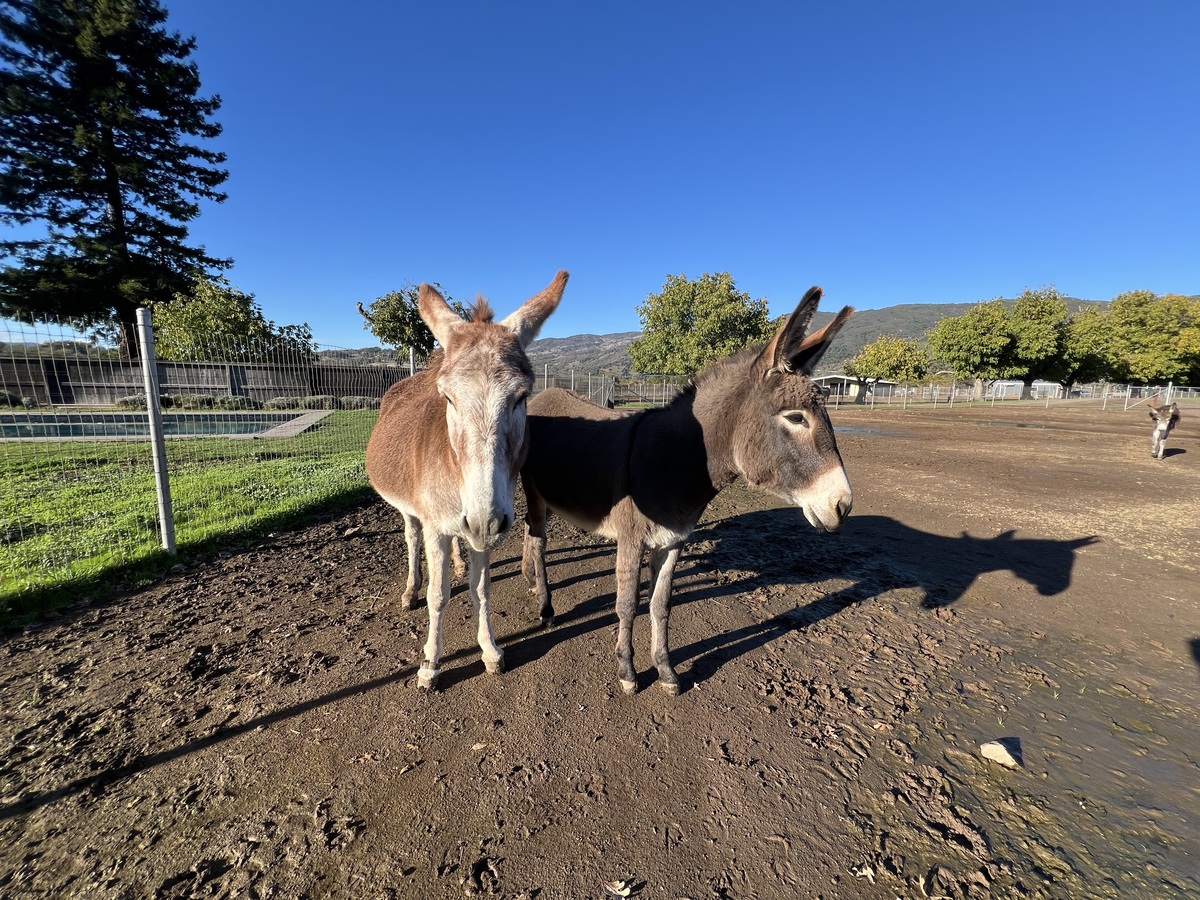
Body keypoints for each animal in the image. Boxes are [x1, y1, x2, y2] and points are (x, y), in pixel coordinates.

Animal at [366, 271, 568, 689]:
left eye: (522, 397)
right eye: (448, 399)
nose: (484, 521)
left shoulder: (484, 524)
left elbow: (482, 590)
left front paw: (490, 650)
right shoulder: (437, 526)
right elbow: (438, 595)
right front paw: (430, 663)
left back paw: (458, 563)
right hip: (410, 510)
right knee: (411, 539)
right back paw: (410, 590)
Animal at [520, 286, 853, 694]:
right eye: (795, 418)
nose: (843, 505)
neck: (670, 465)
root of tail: (542, 395)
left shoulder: (673, 542)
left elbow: (661, 605)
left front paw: (666, 671)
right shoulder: (631, 540)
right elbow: (627, 604)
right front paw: (627, 673)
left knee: (530, 535)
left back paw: (531, 583)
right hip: (534, 492)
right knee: (538, 541)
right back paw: (546, 607)